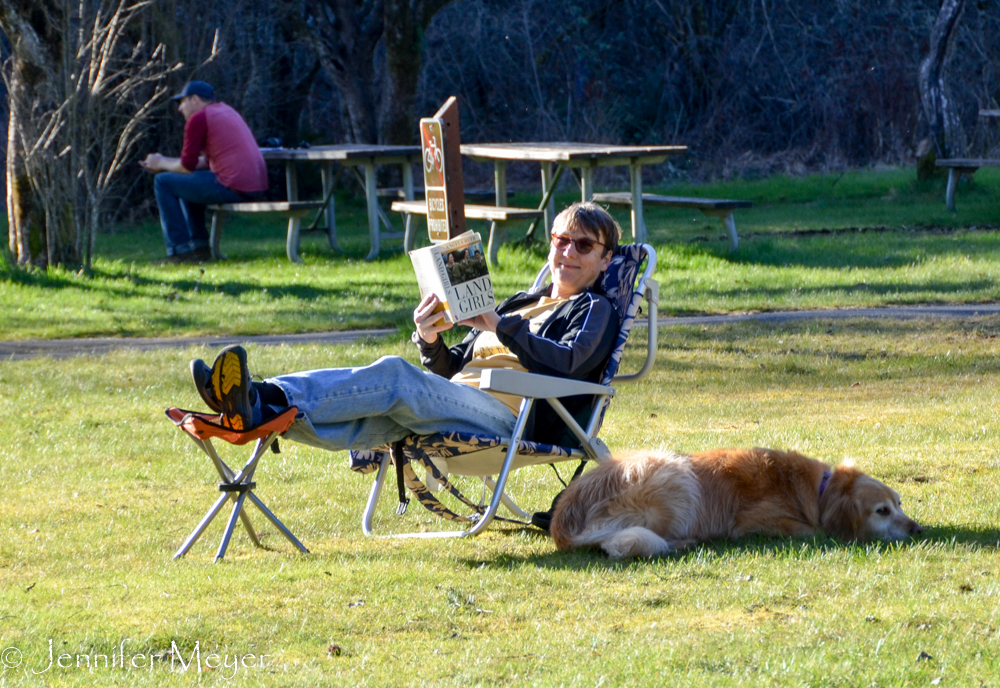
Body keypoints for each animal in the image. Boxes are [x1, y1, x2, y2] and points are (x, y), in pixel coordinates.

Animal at [548, 446, 920, 560]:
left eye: (900, 503)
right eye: (882, 511)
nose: (918, 529)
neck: (820, 492)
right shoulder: (752, 522)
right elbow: (813, 531)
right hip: (675, 475)